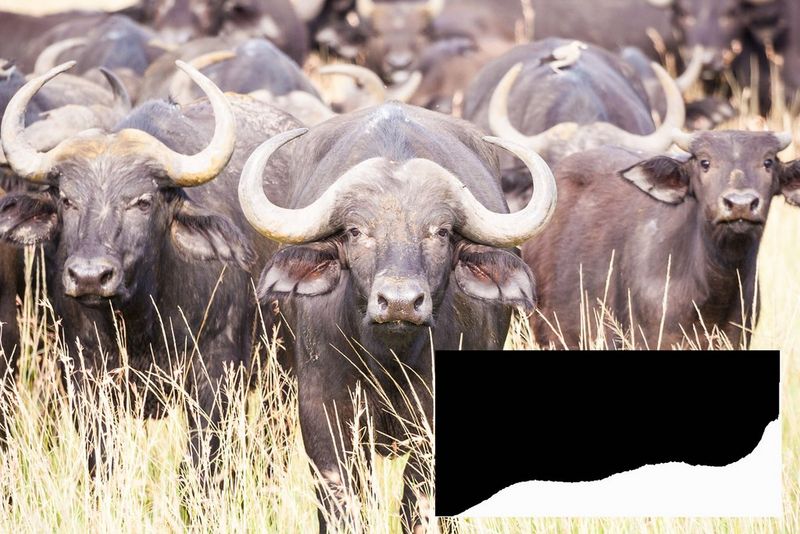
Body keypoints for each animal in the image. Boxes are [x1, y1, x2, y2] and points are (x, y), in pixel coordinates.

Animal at [237, 103, 556, 531]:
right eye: (356, 231)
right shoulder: (325, 415)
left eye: (441, 232)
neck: (388, 357)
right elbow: (343, 502)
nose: (400, 302)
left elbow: (416, 504)